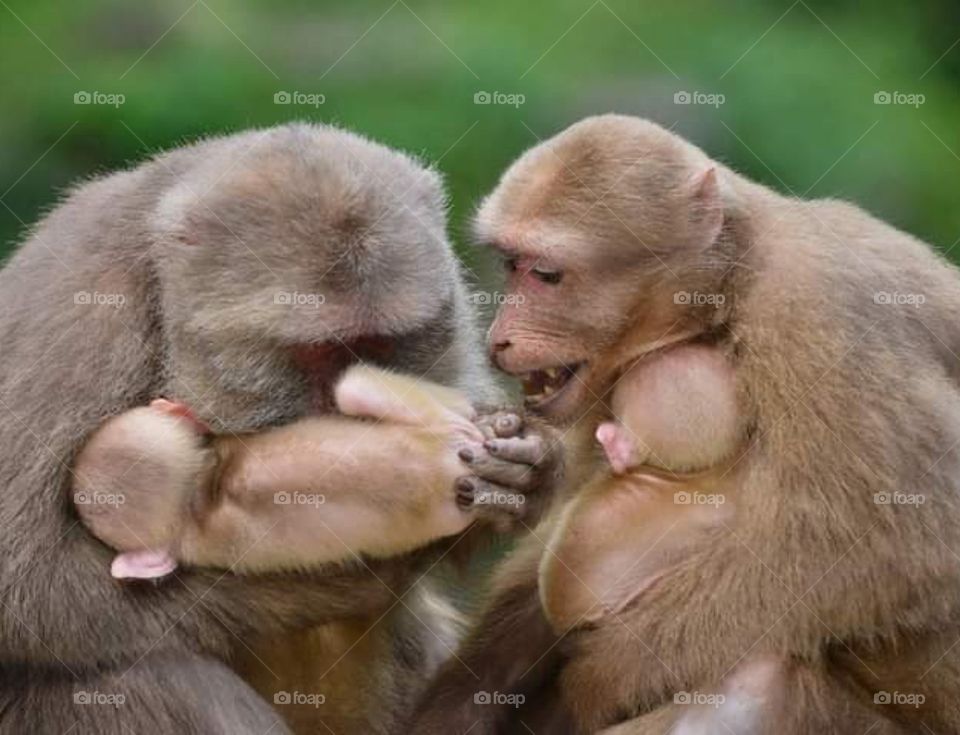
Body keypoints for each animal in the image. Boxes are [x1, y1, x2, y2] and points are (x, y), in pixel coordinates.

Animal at [409, 113, 960, 734]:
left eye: (546, 275)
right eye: (510, 264)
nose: (499, 337)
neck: (728, 281)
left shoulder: (820, 310)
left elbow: (896, 544)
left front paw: (604, 675)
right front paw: (520, 472)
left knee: (763, 685)